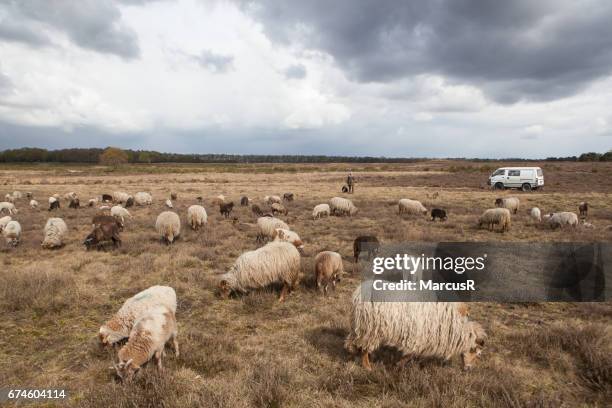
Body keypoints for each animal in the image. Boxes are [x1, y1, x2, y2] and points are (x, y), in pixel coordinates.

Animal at [344, 282, 482, 372]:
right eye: (474, 350)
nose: (468, 369)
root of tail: (358, 294)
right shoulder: (419, 337)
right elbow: (410, 354)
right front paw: (397, 364)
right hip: (370, 328)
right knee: (364, 347)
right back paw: (367, 366)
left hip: (359, 325)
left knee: (353, 340)